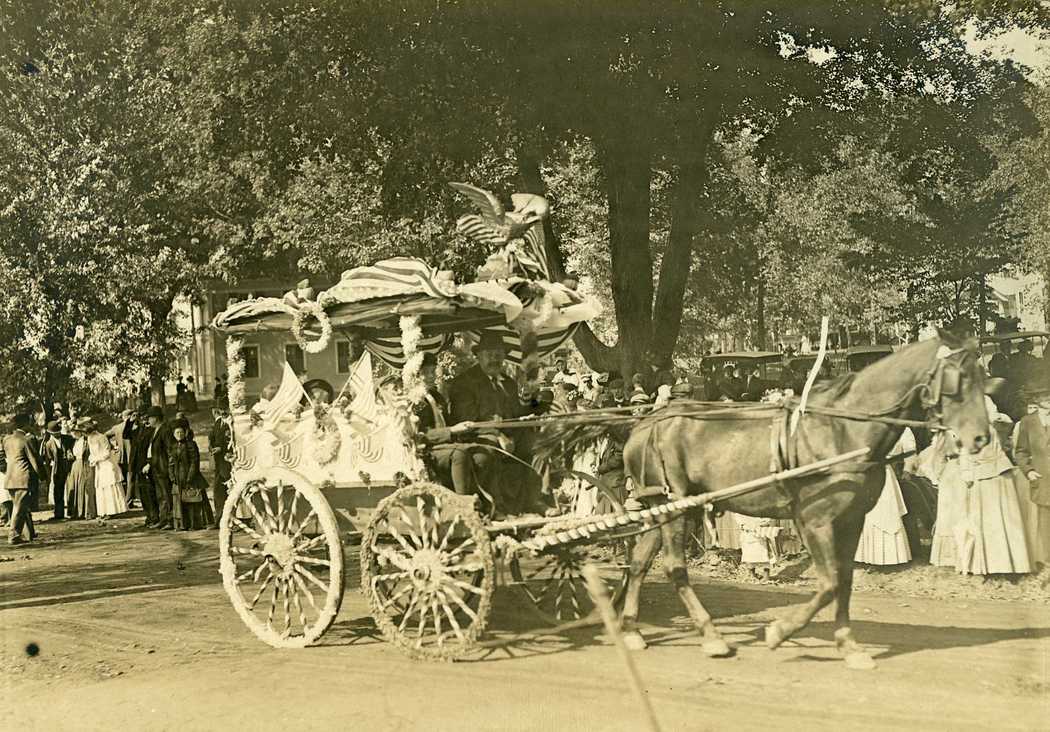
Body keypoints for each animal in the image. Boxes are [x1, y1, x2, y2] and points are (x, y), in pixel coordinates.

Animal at [621, 331, 991, 667]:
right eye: (958, 378)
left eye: (982, 377)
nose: (981, 438)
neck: (842, 430)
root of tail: (643, 426)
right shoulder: (815, 520)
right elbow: (828, 584)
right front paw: (779, 632)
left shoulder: (851, 519)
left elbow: (844, 580)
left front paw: (848, 644)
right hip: (674, 507)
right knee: (674, 568)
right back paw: (711, 636)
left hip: (667, 507)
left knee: (639, 561)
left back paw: (630, 629)